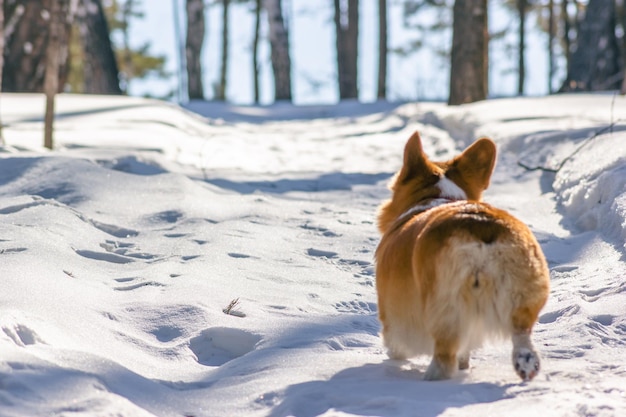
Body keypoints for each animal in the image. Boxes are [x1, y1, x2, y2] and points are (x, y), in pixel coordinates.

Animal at [376, 131, 544, 380]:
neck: (439, 196)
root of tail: (481, 228)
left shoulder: (392, 310)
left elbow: (395, 341)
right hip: (523, 291)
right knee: (522, 337)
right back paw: (525, 366)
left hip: (445, 305)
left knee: (444, 357)